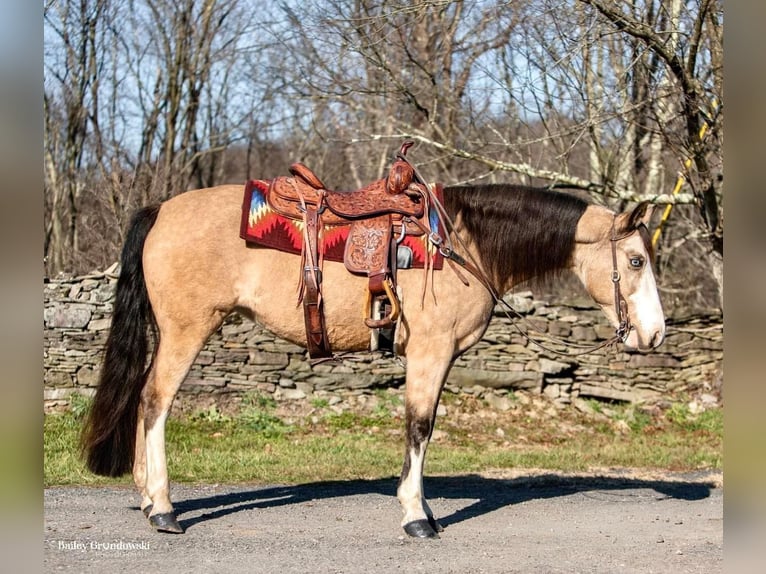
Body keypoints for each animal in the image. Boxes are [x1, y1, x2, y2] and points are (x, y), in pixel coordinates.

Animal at [79, 151, 664, 536]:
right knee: (155, 402)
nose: (655, 333)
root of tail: (160, 210)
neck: (462, 244)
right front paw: (416, 516)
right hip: (187, 330)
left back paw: (145, 495)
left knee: (144, 399)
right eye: (636, 260)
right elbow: (419, 428)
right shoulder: (429, 353)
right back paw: (163, 509)